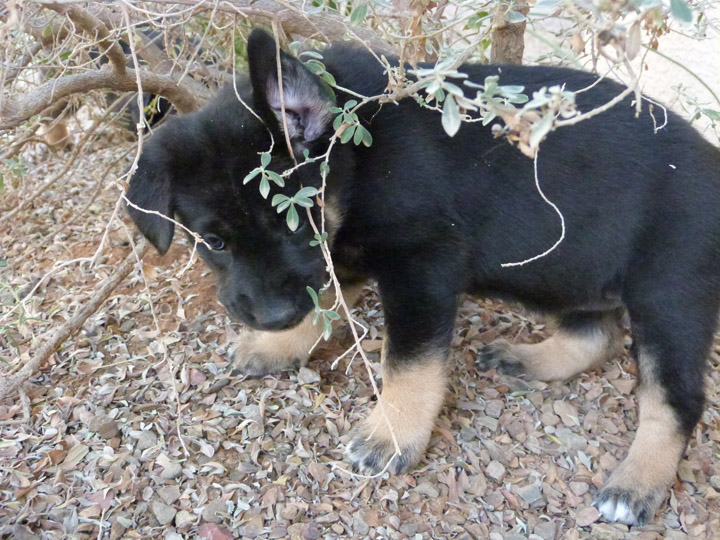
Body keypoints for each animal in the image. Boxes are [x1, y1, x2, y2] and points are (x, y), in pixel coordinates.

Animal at [128, 28, 720, 524]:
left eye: (299, 222)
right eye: (214, 242)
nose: (274, 318)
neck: (356, 156)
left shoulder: (421, 263)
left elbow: (408, 363)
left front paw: (390, 434)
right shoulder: (351, 254)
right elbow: (328, 296)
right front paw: (282, 344)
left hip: (666, 295)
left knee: (677, 399)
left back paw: (637, 482)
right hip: (570, 268)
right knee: (596, 333)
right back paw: (529, 358)